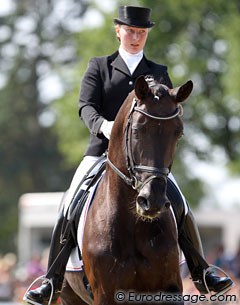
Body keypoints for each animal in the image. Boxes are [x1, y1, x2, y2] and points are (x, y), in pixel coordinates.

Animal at [60, 75, 193, 302]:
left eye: (178, 133)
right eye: (138, 129)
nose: (152, 201)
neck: (132, 223)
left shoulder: (169, 289)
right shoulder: (105, 295)